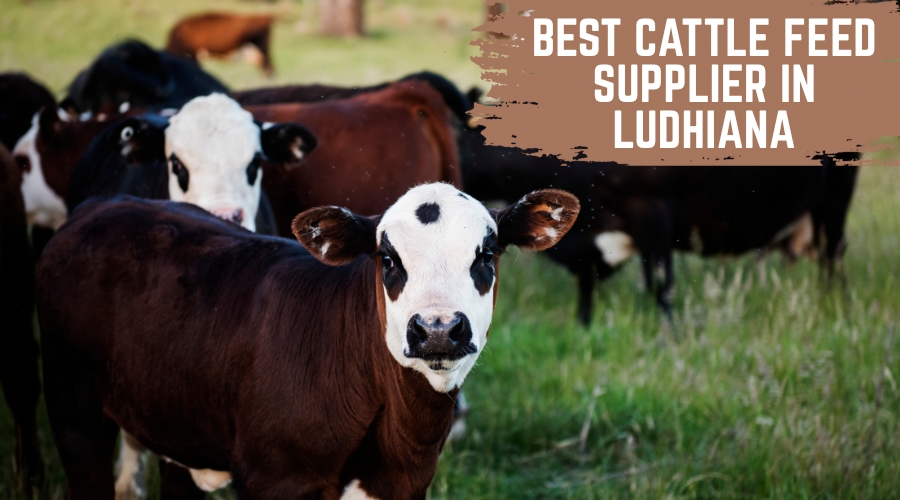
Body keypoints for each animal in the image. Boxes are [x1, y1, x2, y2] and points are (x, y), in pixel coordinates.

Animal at [37, 183, 580, 499]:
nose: (437, 329)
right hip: (73, 412)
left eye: (485, 254)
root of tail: (101, 205)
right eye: (388, 259)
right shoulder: (277, 479)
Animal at [461, 139, 858, 324]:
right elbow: (586, 288)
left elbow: (661, 288)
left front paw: (669, 337)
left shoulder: (654, 216)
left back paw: (833, 304)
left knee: (833, 256)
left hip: (835, 199)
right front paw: (583, 327)